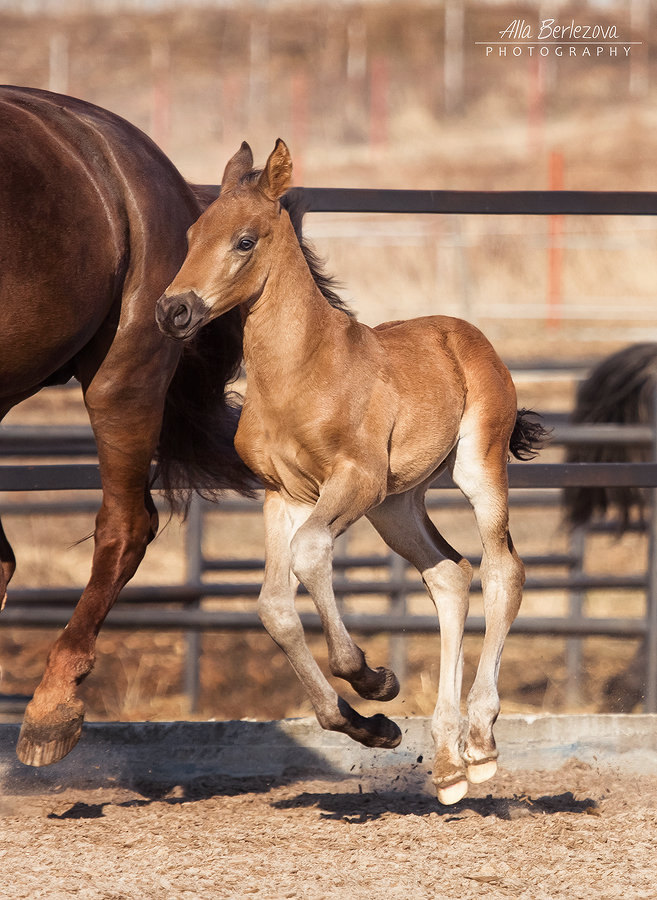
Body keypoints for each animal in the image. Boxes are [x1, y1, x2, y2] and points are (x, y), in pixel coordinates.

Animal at [156, 142, 544, 808]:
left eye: (244, 241)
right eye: (191, 235)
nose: (174, 309)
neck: (301, 372)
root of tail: (468, 335)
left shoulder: (353, 480)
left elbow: (311, 552)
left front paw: (370, 677)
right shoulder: (282, 495)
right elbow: (274, 606)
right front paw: (373, 723)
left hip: (475, 468)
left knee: (502, 570)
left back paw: (478, 742)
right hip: (397, 505)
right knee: (450, 574)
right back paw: (446, 765)